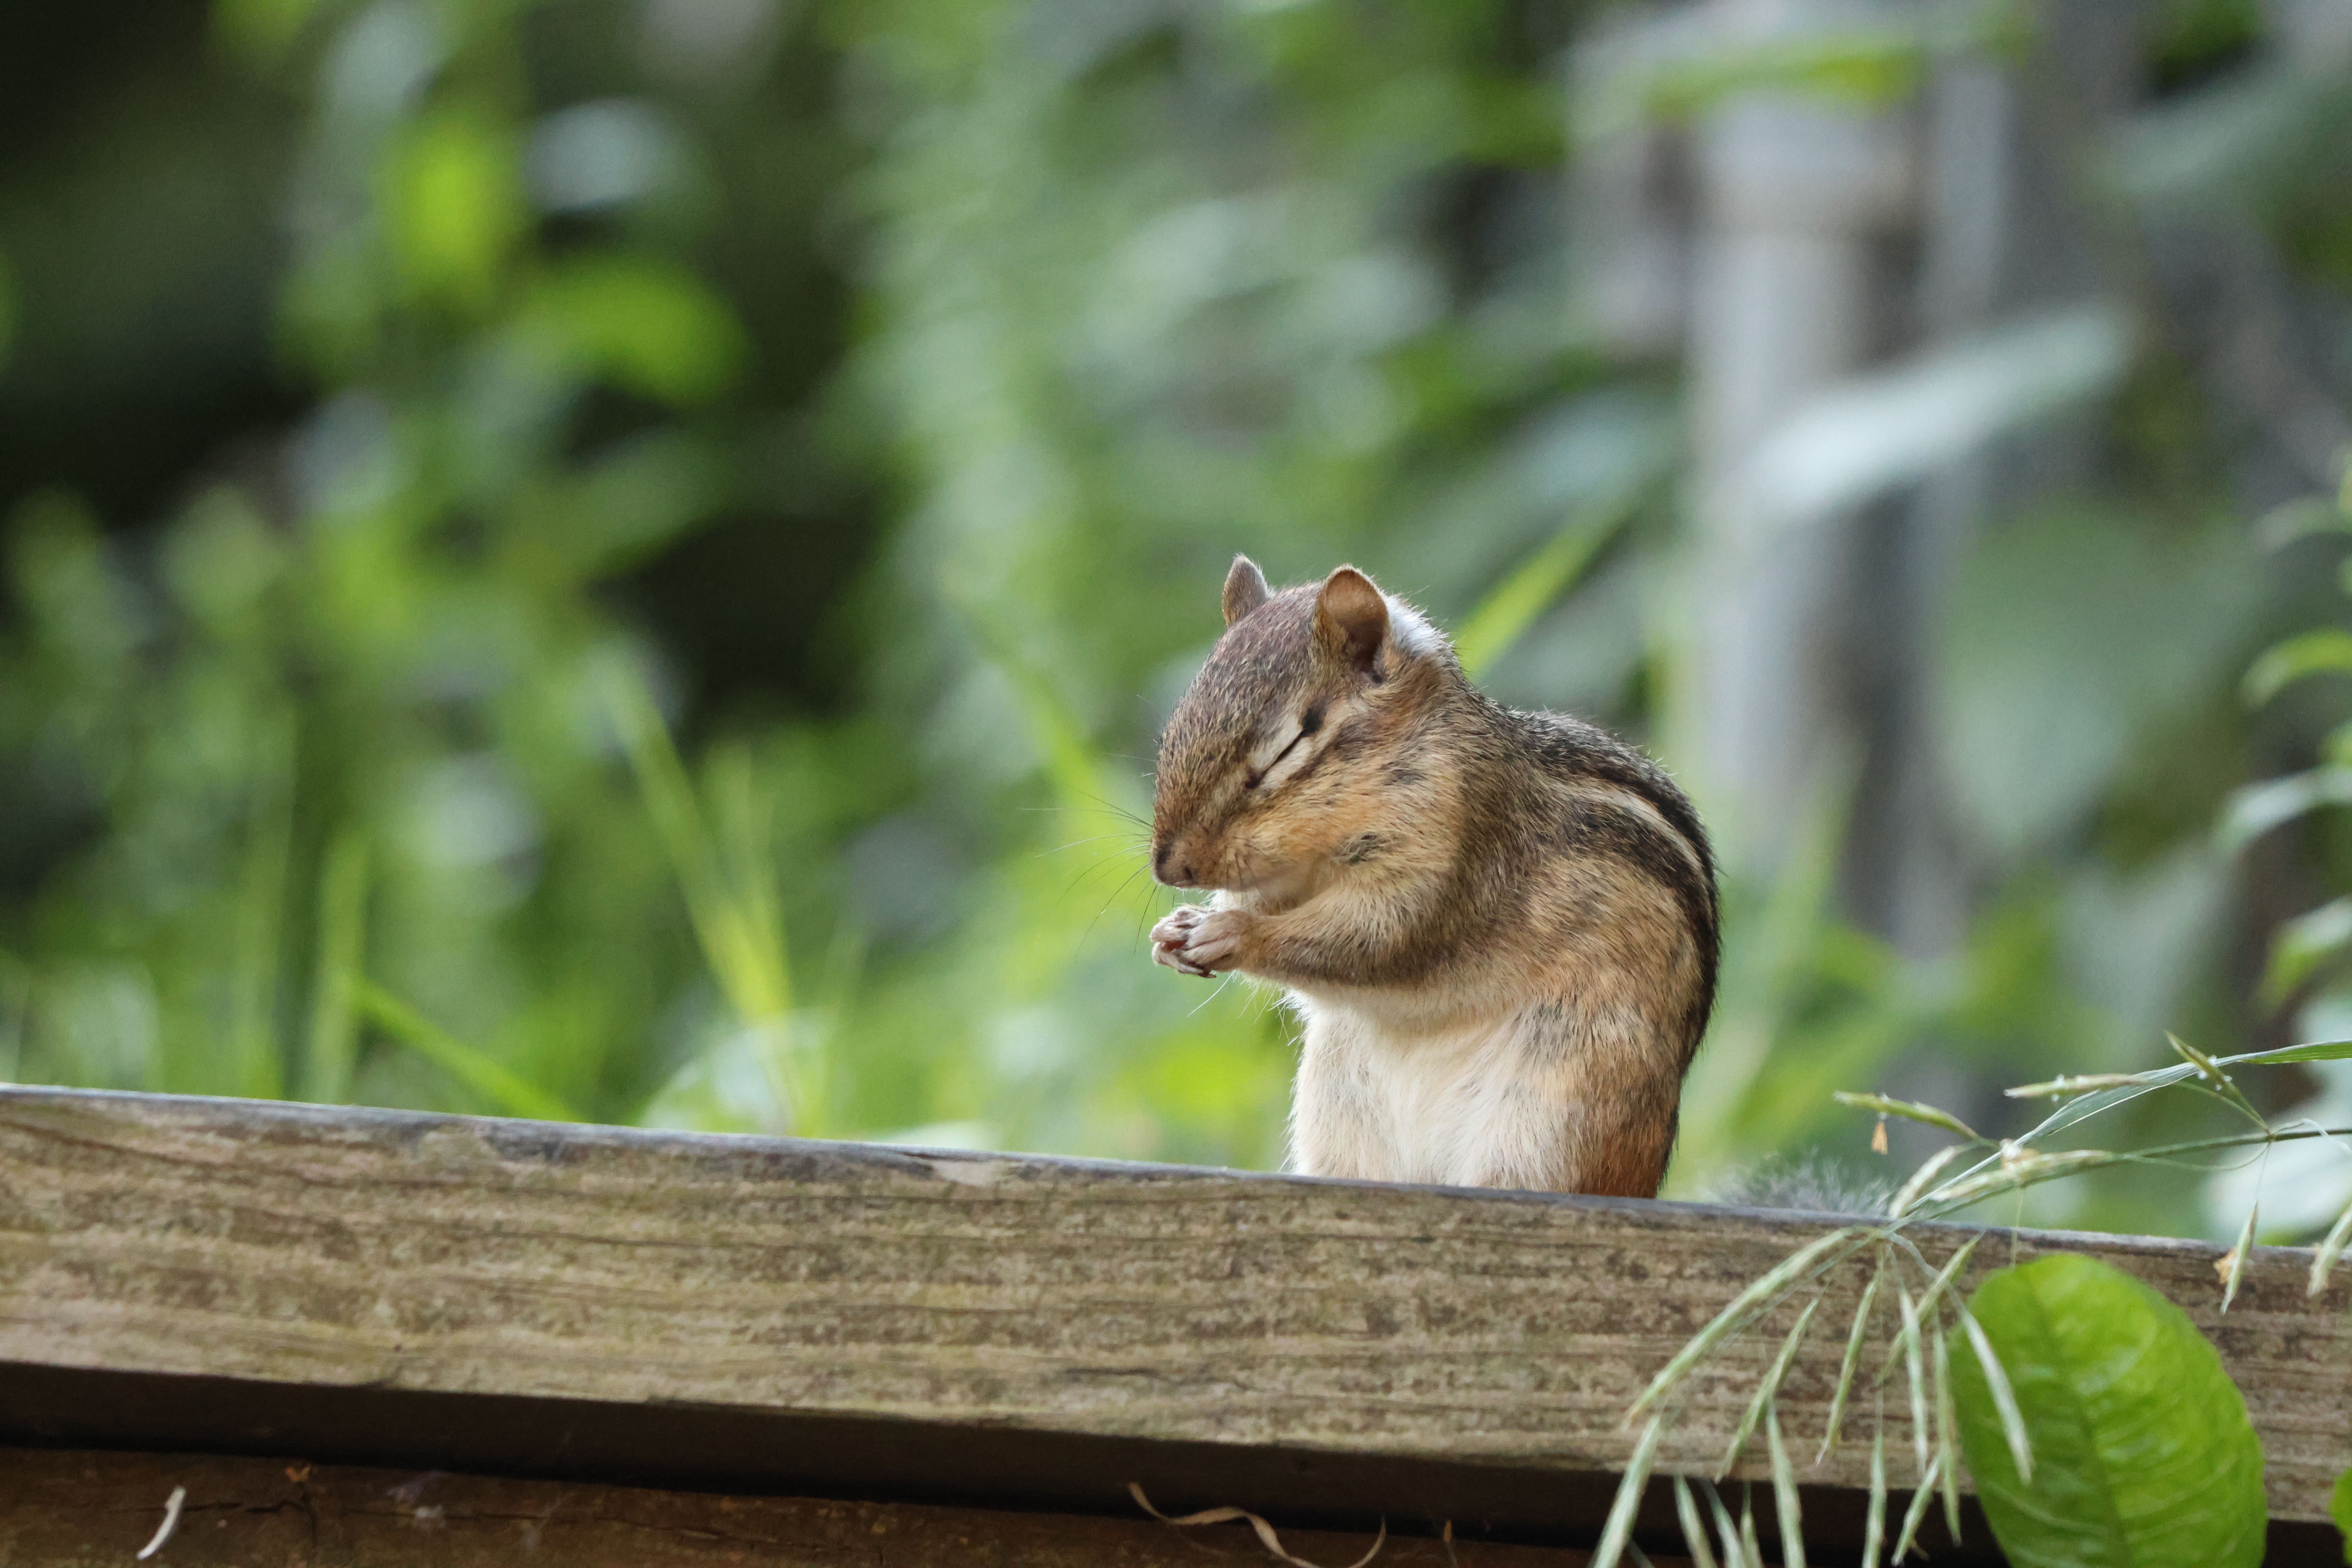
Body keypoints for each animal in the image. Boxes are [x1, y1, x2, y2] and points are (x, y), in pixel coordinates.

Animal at [1148, 557, 1719, 1199]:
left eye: (1287, 748)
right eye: (1174, 730)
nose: (1169, 867)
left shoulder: (1457, 859)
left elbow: (1380, 939)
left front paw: (1231, 934)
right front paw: (1176, 931)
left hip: (1557, 1109)